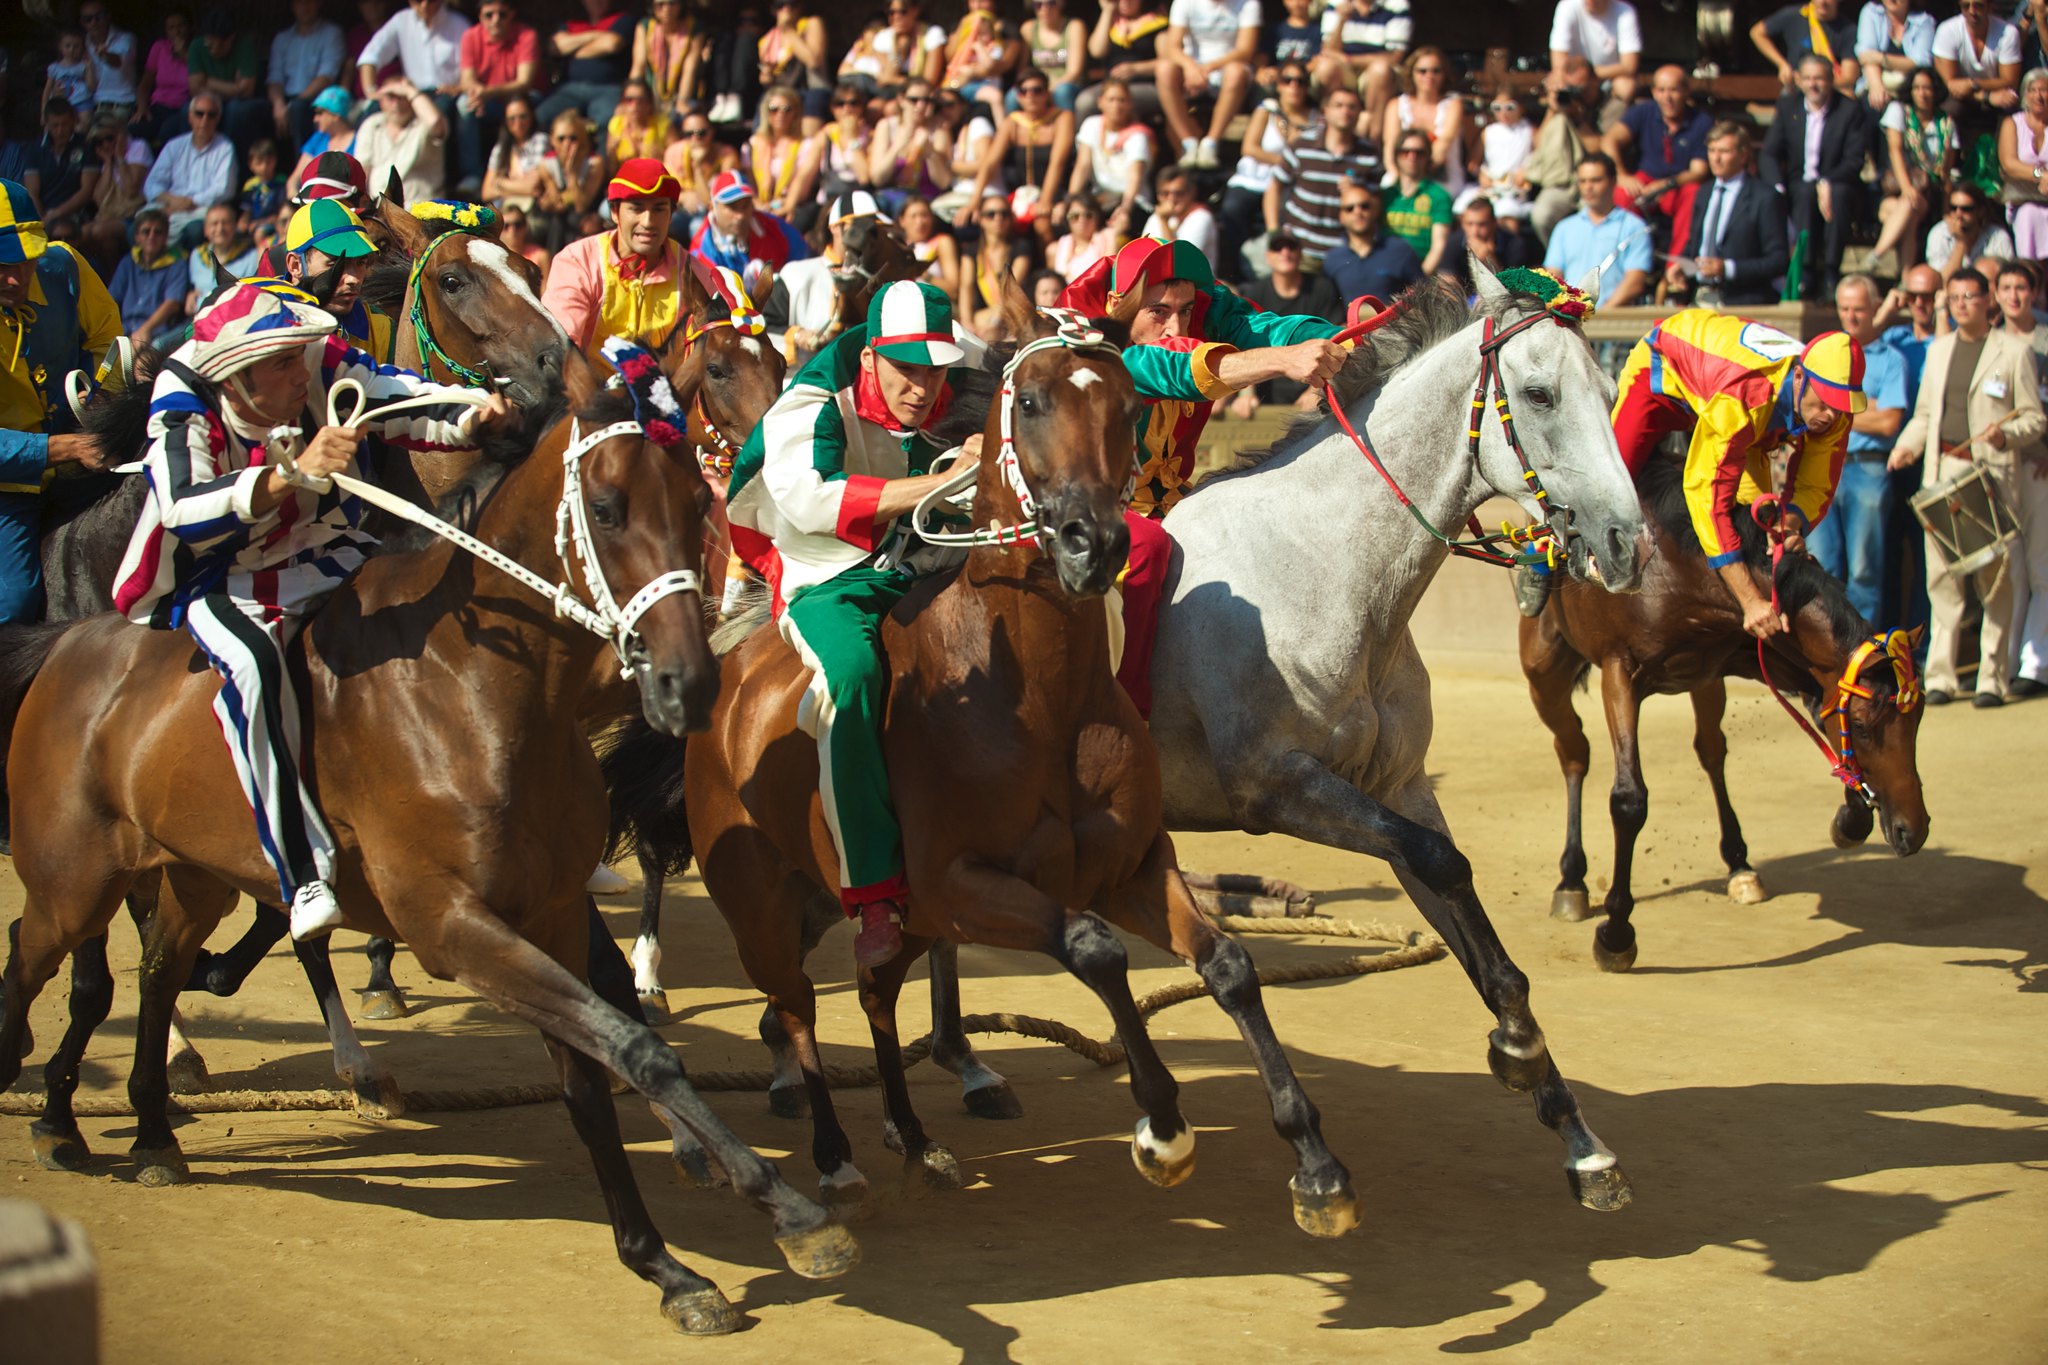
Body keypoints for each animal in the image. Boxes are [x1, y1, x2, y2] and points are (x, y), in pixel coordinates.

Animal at [0, 347, 856, 1342]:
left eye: (696, 506)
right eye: (606, 507)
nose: (690, 681)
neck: (474, 686)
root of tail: (69, 645)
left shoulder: (547, 913)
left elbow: (594, 1073)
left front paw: (665, 1264)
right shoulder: (452, 924)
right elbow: (635, 1046)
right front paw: (789, 1210)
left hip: (192, 877)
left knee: (155, 968)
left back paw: (147, 1128)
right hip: (71, 880)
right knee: (40, 960)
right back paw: (59, 1108)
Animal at [675, 288, 1376, 1236]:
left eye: (1125, 404)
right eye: (1033, 401)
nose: (1092, 541)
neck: (1038, 701)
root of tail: (731, 683)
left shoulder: (1129, 864)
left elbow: (1229, 965)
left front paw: (1316, 1163)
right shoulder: (959, 884)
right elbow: (1095, 950)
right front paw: (1162, 1125)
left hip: (876, 914)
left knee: (872, 990)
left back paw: (914, 1137)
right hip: (764, 909)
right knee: (799, 1013)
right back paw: (832, 1158)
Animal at [1523, 448, 1933, 970]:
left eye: (1917, 719)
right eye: (1861, 727)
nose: (1913, 829)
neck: (1680, 566)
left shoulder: (1759, 649)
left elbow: (1819, 707)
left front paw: (1851, 817)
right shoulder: (1620, 671)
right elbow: (1629, 800)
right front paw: (1615, 934)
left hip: (1704, 680)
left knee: (1710, 750)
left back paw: (1739, 863)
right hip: (1544, 669)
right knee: (1574, 752)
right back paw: (1572, 879)